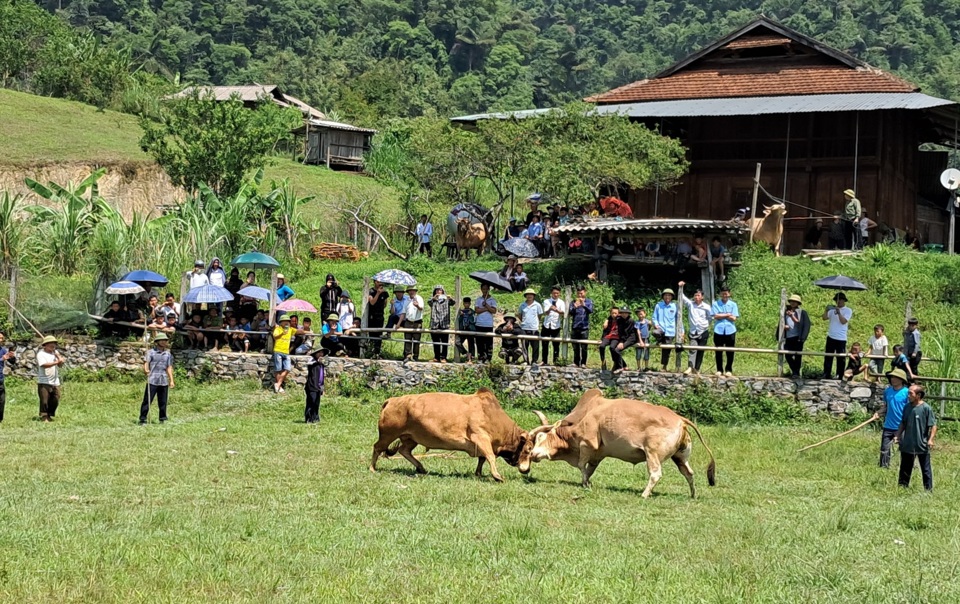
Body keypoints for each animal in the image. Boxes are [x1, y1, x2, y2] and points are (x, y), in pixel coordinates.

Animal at [370, 390, 532, 484]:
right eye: (529, 448)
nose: (527, 470)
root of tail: (391, 400)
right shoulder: (480, 436)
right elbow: (490, 456)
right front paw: (497, 476)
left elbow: (482, 459)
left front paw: (479, 474)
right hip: (388, 434)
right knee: (377, 447)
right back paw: (372, 468)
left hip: (410, 438)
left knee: (404, 450)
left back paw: (421, 467)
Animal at [524, 390, 712, 498]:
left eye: (540, 437)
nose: (532, 454)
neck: (585, 414)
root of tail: (680, 419)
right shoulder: (597, 455)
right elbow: (589, 469)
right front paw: (587, 482)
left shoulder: (587, 444)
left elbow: (581, 466)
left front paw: (585, 484)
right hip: (680, 457)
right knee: (688, 473)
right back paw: (693, 495)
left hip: (652, 454)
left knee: (655, 474)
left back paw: (644, 494)